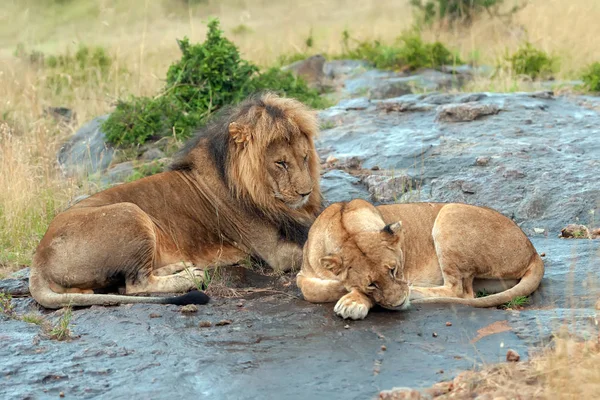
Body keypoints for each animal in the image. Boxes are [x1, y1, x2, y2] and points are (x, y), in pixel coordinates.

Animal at [31, 94, 324, 310]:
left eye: (304, 157)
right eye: (280, 163)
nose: (305, 193)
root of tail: (38, 259)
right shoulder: (274, 253)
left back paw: (180, 266)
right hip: (130, 213)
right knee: (135, 285)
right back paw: (189, 276)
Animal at [298, 199, 548, 318]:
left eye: (394, 270)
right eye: (371, 284)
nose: (399, 302)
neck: (346, 228)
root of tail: (533, 251)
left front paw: (352, 301)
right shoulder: (303, 274)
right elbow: (313, 290)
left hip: (449, 213)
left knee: (459, 291)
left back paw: (415, 292)